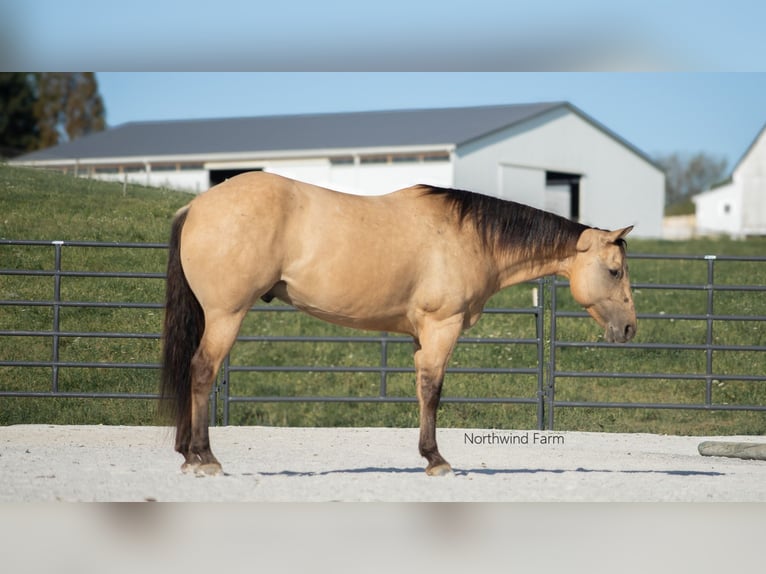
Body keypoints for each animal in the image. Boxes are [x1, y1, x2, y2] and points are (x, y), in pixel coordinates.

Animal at [160, 173, 636, 480]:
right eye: (614, 271)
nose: (630, 329)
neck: (469, 237)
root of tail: (197, 205)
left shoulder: (418, 336)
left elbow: (422, 390)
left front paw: (429, 456)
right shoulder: (442, 328)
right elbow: (433, 391)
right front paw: (436, 460)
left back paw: (187, 455)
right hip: (226, 314)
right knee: (201, 370)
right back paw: (204, 457)